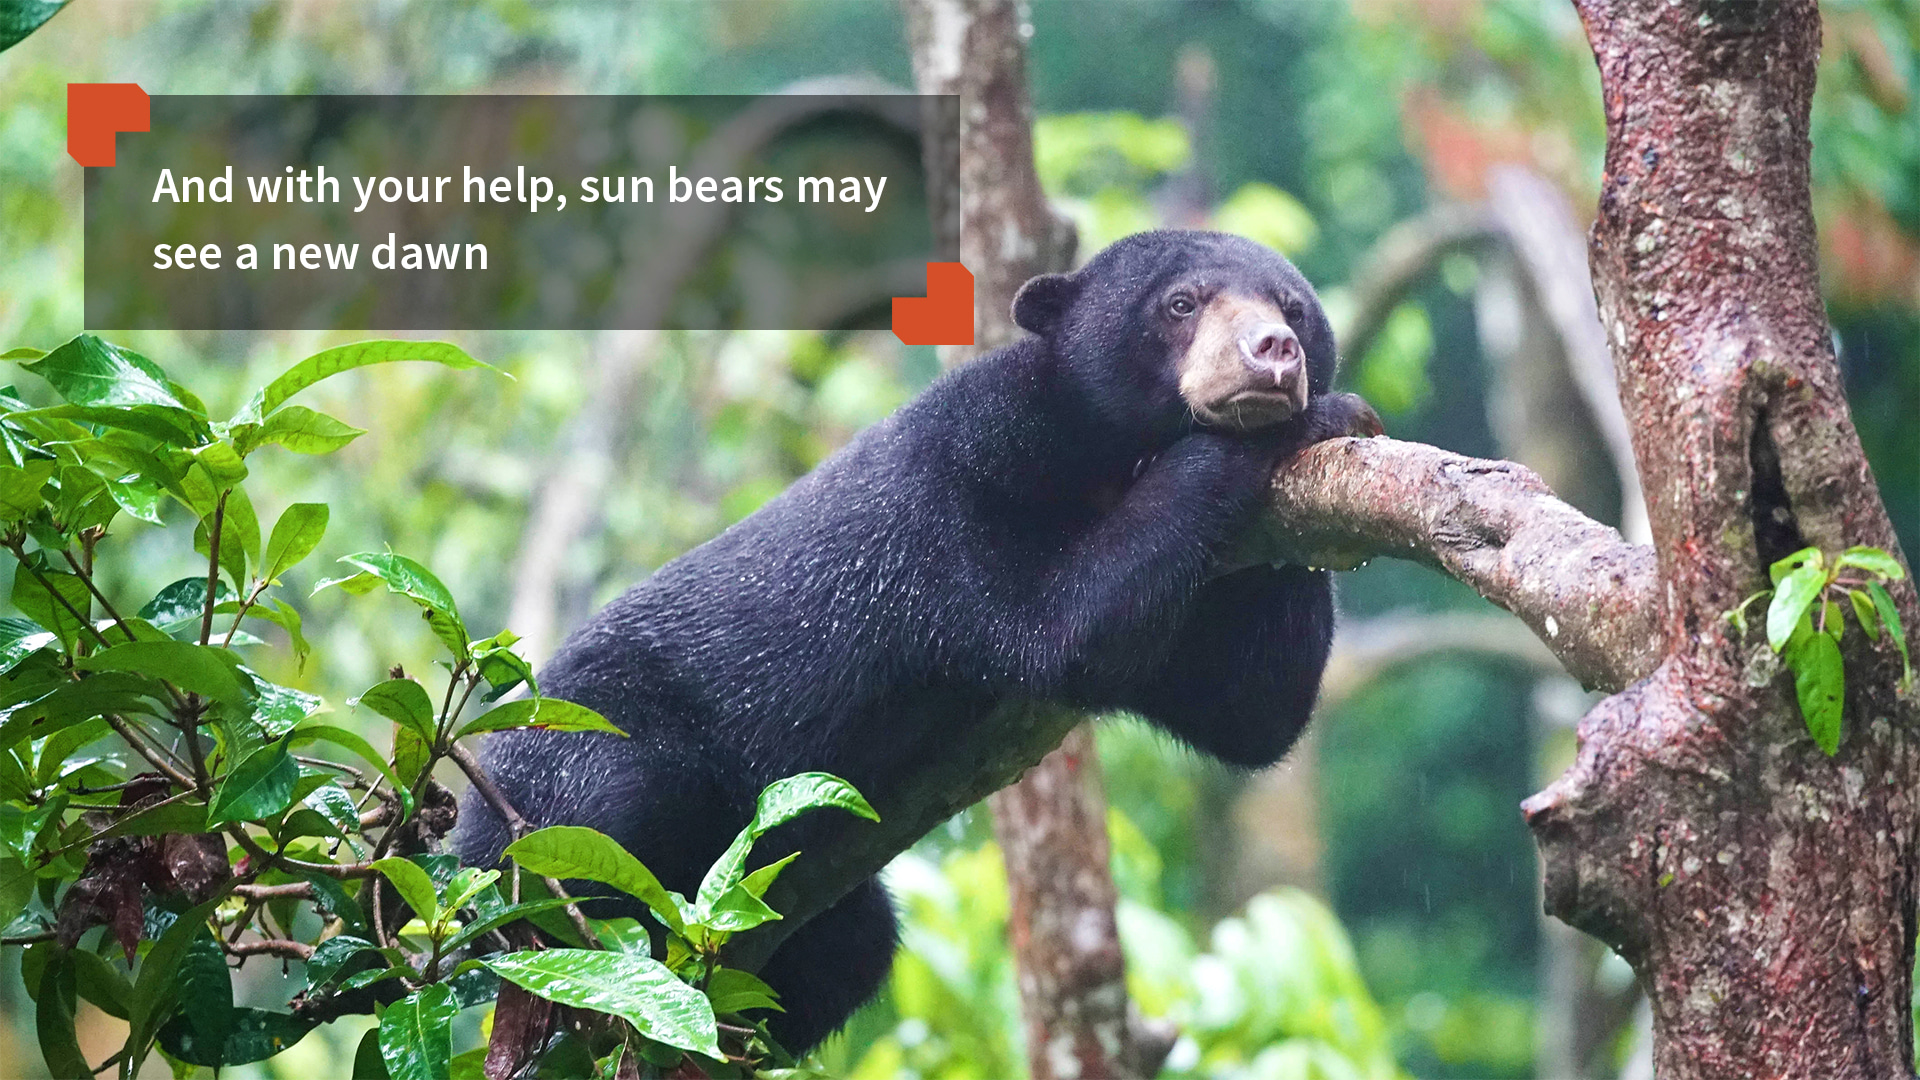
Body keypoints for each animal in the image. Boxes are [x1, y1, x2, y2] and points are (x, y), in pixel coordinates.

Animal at [454, 229, 1382, 1052]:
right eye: (1181, 304)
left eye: (1293, 308)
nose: (1272, 353)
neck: (1110, 450)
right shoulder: (963, 472)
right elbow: (1058, 625)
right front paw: (1310, 420)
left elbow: (1248, 712)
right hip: (570, 773)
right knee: (609, 814)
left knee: (851, 952)